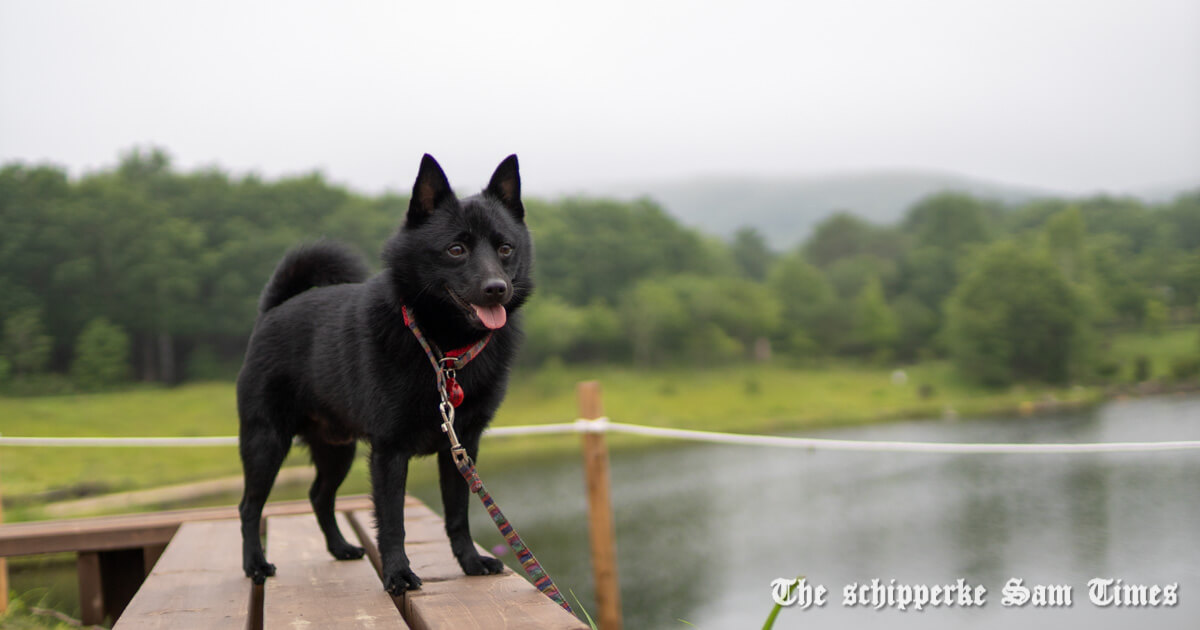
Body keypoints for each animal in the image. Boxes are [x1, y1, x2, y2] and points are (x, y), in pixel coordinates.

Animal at [236, 153, 532, 595]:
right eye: (456, 249)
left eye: (505, 248)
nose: (496, 288)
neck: (441, 350)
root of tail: (274, 309)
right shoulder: (390, 452)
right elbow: (393, 520)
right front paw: (398, 575)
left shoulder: (462, 446)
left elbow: (458, 514)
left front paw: (470, 563)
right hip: (265, 441)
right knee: (250, 505)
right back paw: (255, 564)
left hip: (337, 449)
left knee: (319, 496)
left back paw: (341, 548)